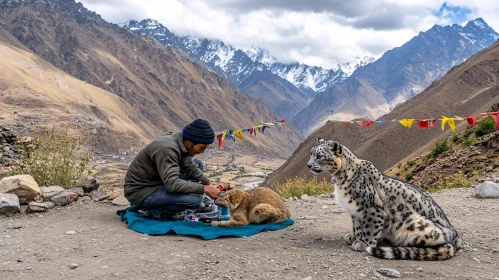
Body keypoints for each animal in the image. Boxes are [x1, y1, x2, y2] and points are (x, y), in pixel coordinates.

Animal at [306, 139, 462, 262]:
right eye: (311, 154)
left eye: (319, 155)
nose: (308, 165)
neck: (339, 179)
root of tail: (456, 238)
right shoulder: (355, 212)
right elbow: (357, 227)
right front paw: (354, 237)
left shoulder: (372, 210)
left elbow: (369, 228)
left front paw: (364, 243)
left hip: (415, 223)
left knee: (440, 246)